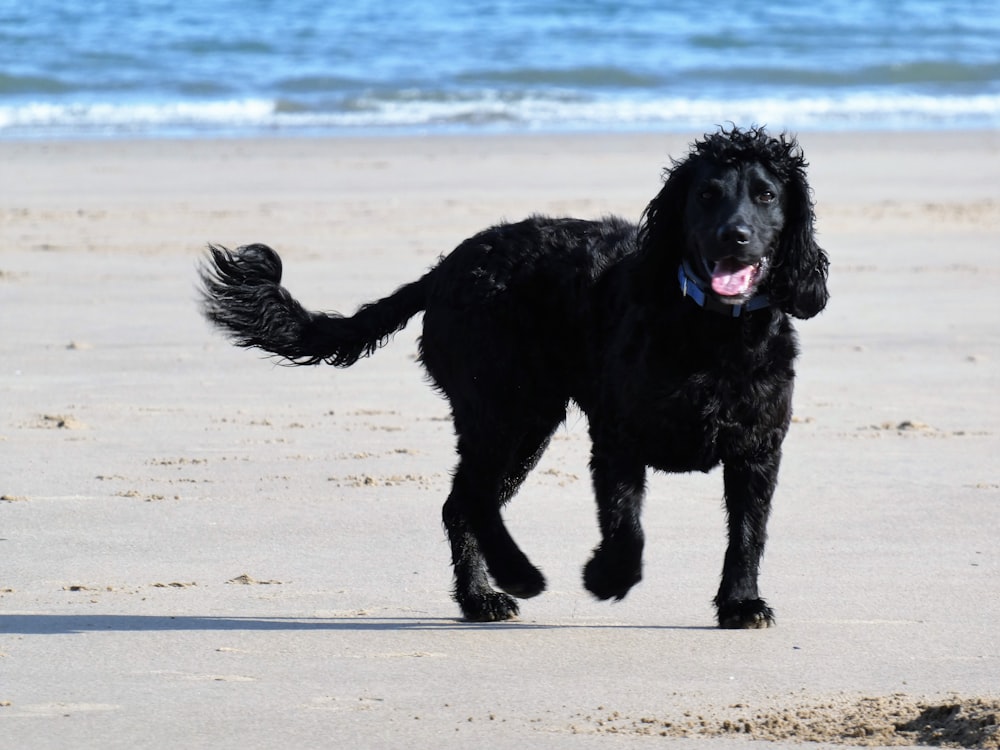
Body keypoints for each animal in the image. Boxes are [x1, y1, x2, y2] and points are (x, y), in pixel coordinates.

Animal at [197, 128, 828, 628]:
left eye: (767, 195)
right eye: (706, 195)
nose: (735, 236)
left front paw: (741, 605)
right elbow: (627, 523)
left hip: (523, 423)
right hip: (505, 411)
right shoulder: (617, 437)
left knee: (466, 503)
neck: (711, 332)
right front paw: (608, 575)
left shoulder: (757, 449)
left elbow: (747, 534)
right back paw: (506, 582)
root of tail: (445, 268)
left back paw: (480, 596)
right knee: (469, 501)